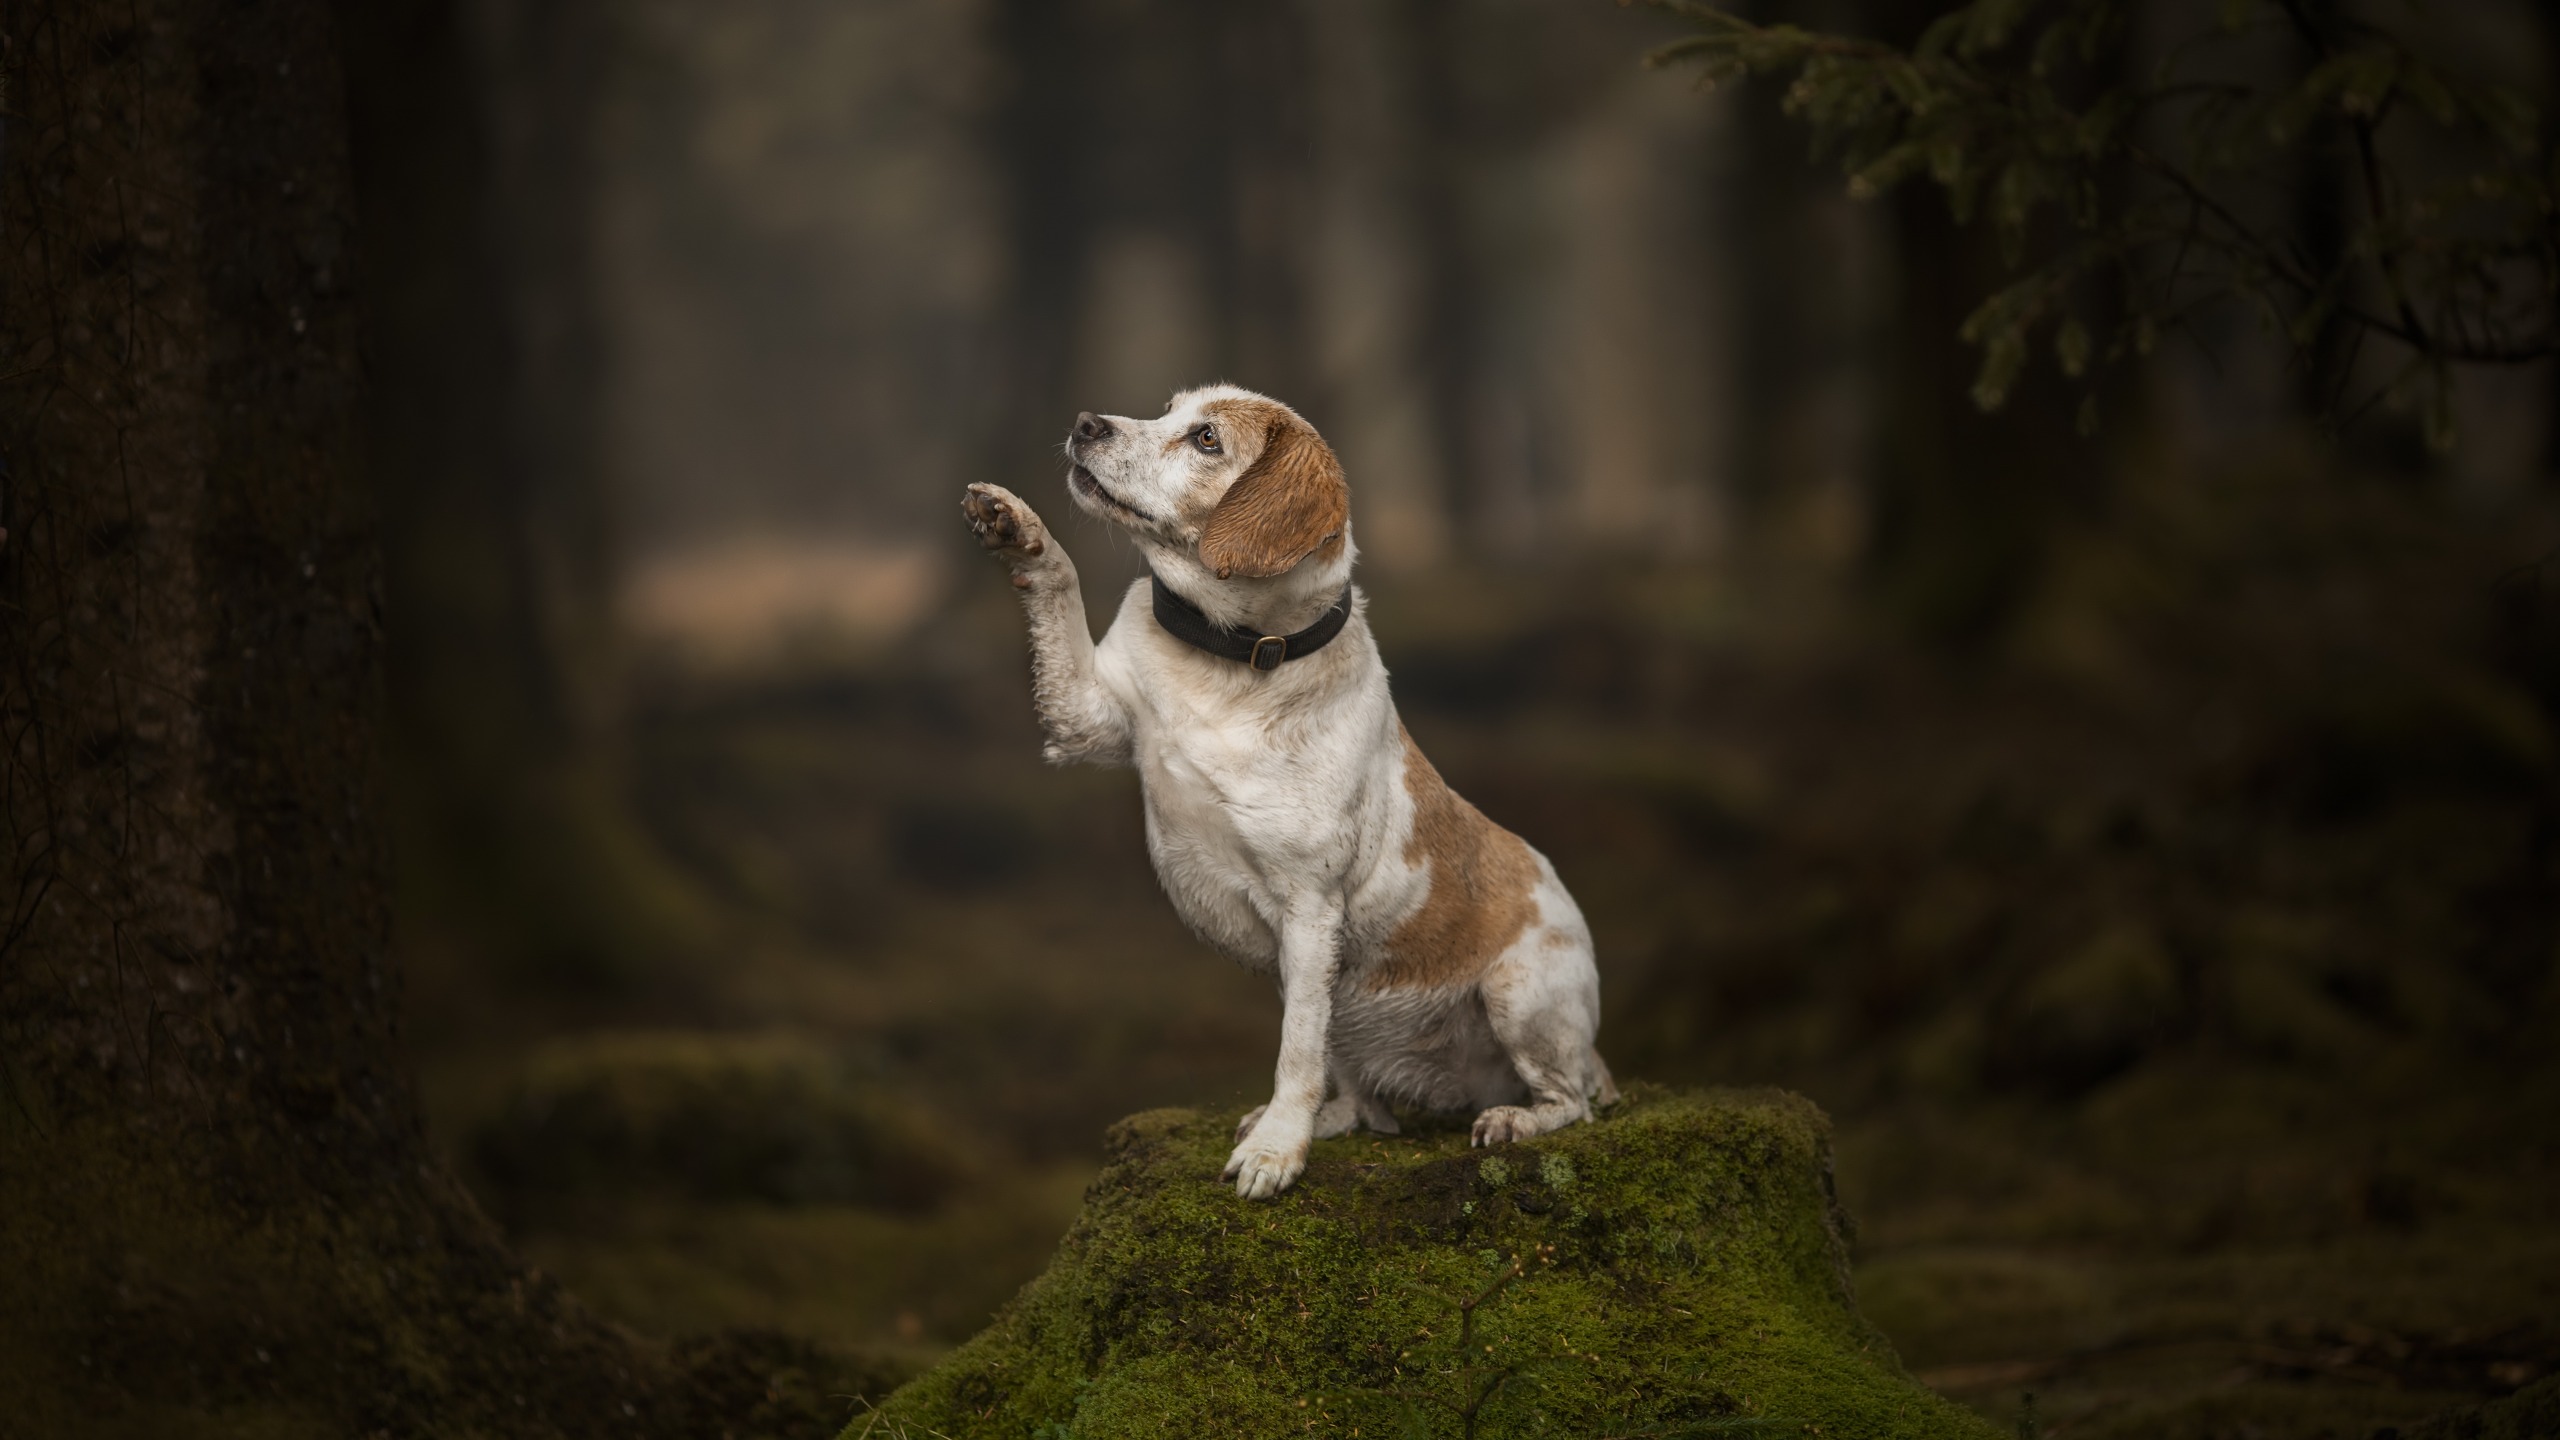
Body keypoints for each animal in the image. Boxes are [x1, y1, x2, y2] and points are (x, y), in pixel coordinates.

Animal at [967, 384, 1607, 1199]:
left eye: (1206, 440)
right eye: (1169, 410)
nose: (1086, 424)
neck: (1238, 658)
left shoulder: (1308, 912)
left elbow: (1294, 1053)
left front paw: (1276, 1153)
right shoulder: (1085, 716)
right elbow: (1059, 583)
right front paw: (1017, 528)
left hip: (1518, 992)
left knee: (1569, 1100)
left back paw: (1512, 1120)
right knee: (1366, 1105)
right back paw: (1336, 1117)